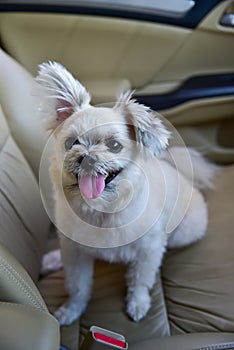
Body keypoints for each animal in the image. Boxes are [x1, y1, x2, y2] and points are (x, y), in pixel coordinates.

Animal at [37, 62, 218, 326]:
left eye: (114, 146)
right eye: (72, 143)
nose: (87, 157)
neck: (101, 211)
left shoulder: (148, 249)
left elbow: (141, 280)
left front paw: (138, 303)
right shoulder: (76, 254)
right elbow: (78, 287)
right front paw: (71, 310)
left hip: (183, 233)